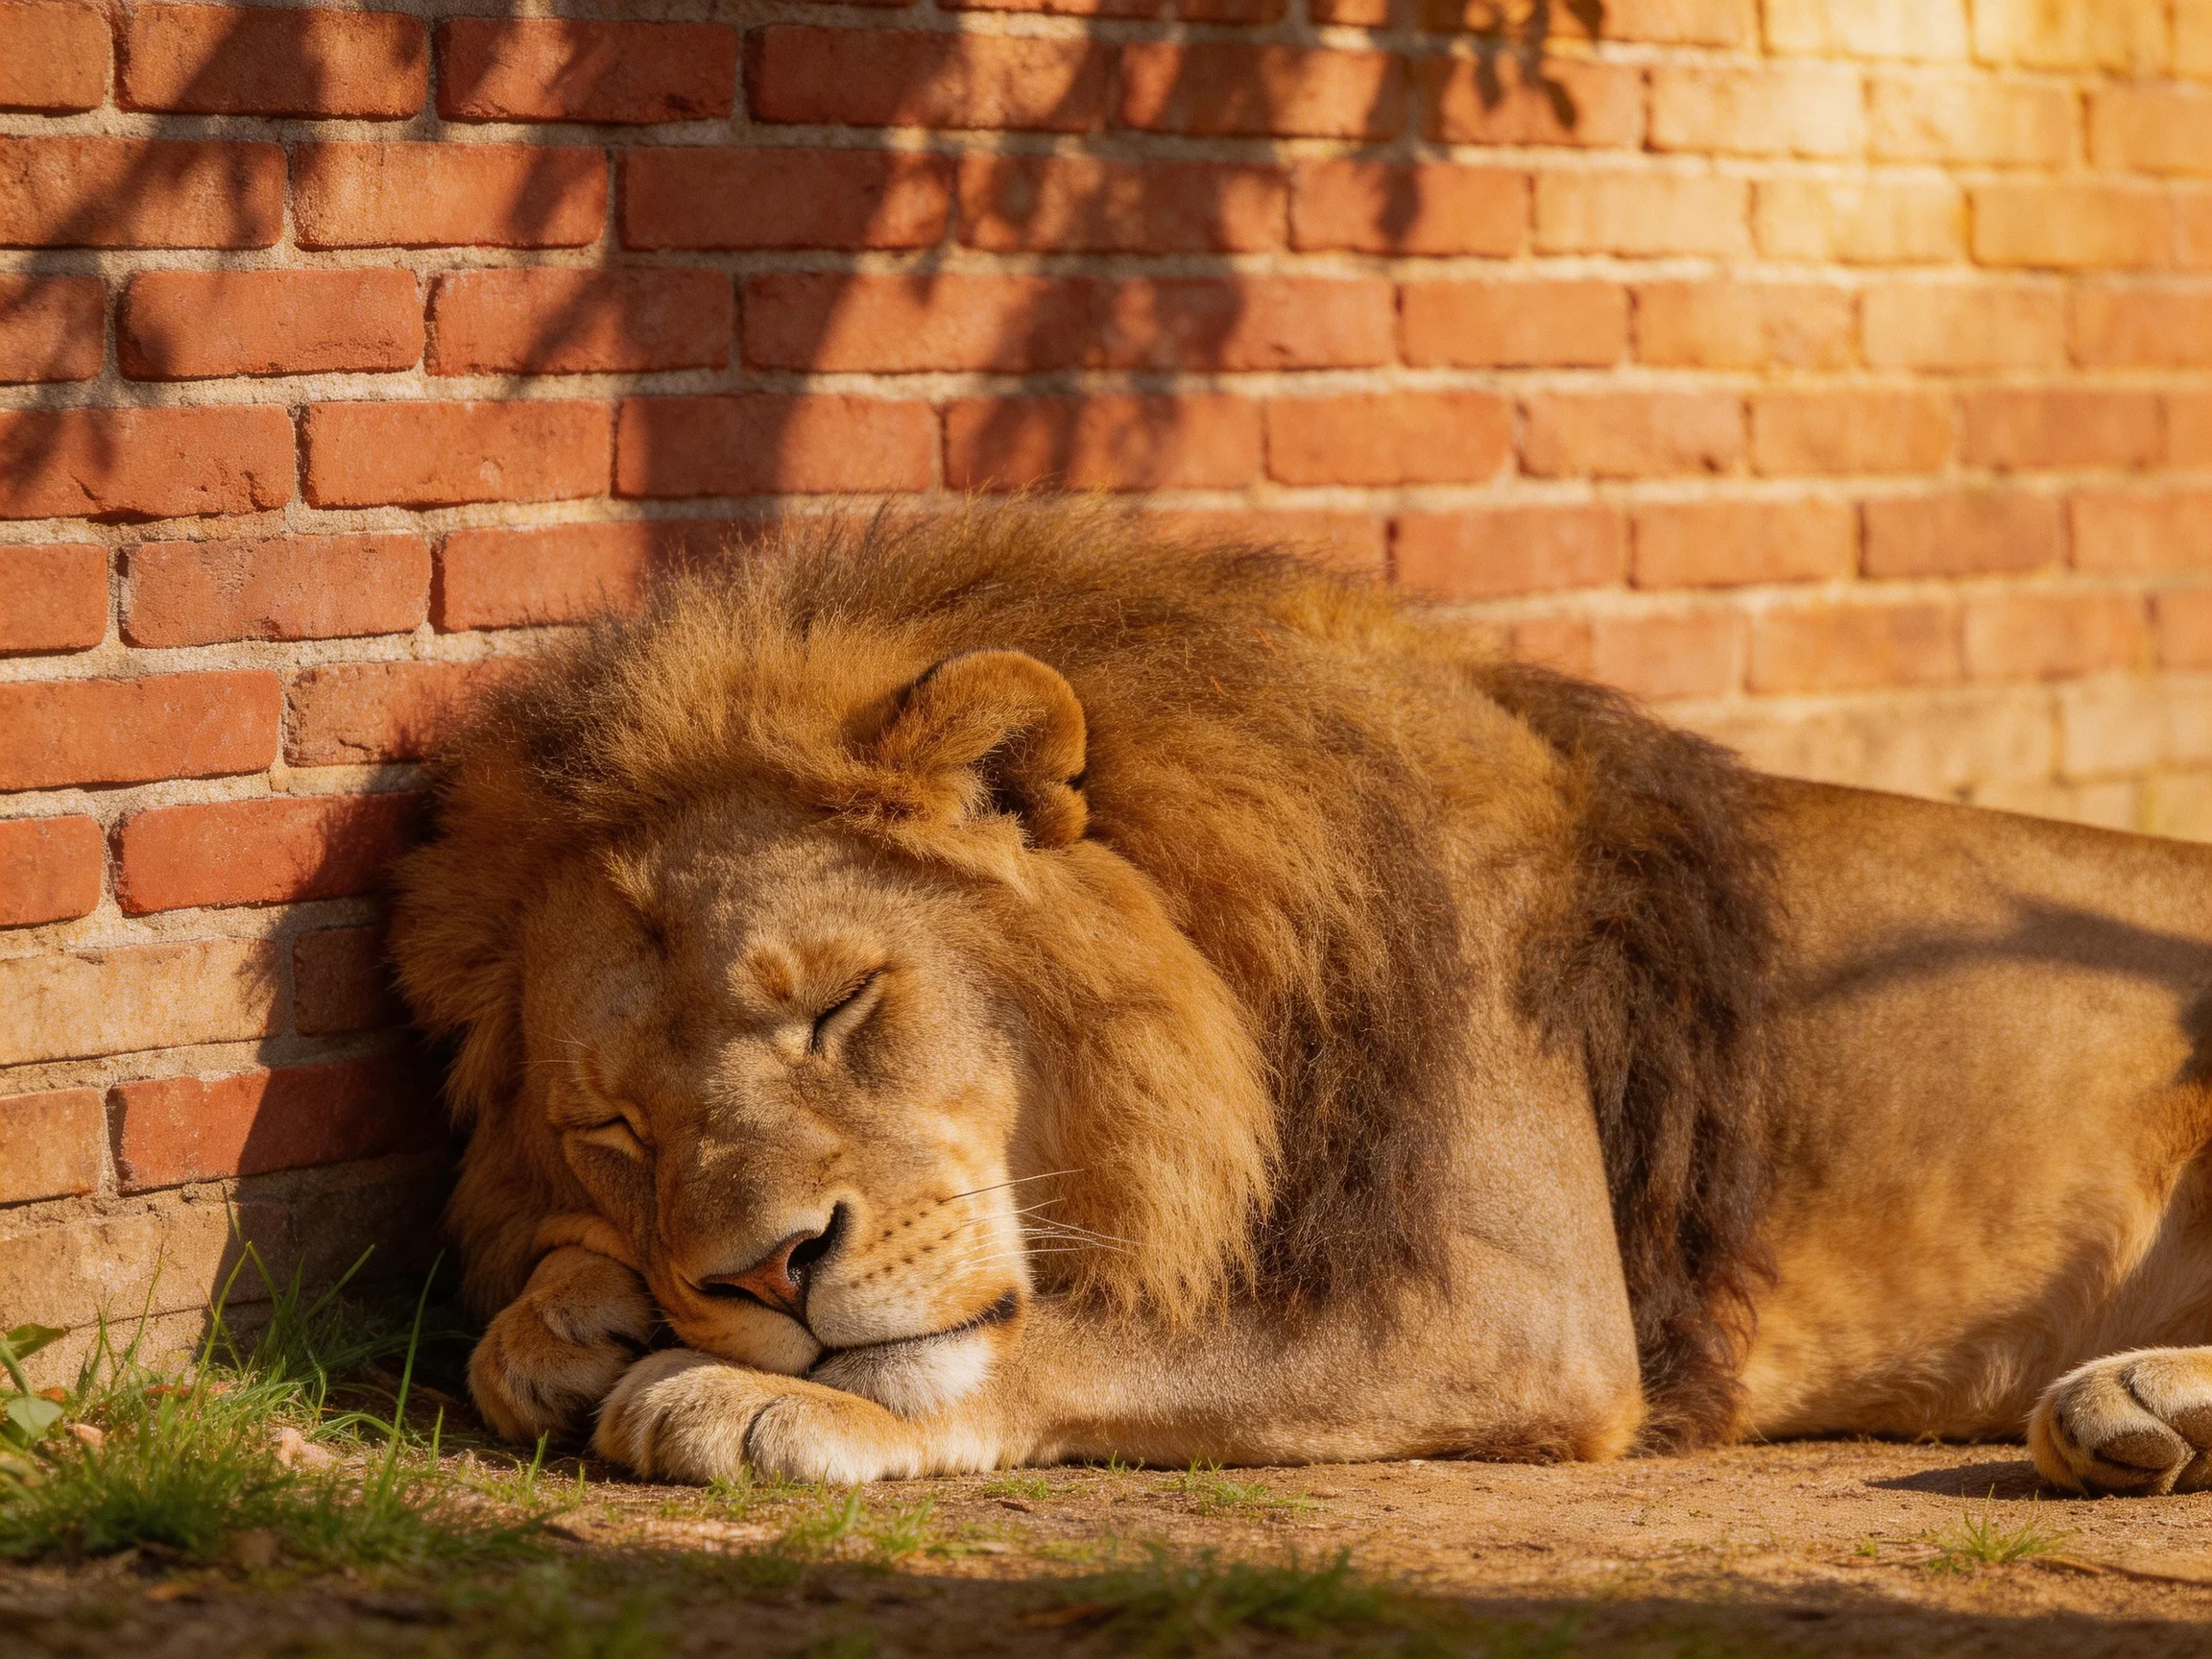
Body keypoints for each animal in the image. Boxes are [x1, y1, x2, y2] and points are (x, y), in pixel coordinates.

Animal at [389, 506, 2212, 1498]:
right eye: (612, 1126)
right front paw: (563, 1317)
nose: (763, 1270)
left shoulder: (1510, 1309)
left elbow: (1086, 1331)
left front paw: (750, 1391)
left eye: (840, 1004)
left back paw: (2127, 1397)